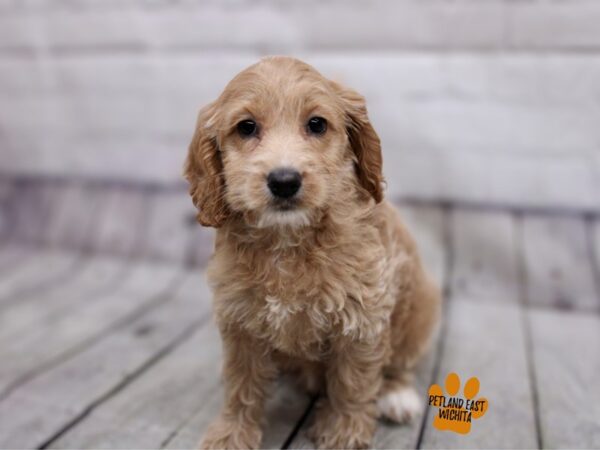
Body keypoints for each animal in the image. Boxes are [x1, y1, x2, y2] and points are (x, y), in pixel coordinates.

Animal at [185, 57, 442, 450]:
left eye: (317, 124)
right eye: (246, 127)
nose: (284, 181)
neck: (288, 239)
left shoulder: (363, 315)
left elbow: (354, 381)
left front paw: (343, 432)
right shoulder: (239, 319)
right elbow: (241, 382)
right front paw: (230, 434)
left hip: (419, 308)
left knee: (399, 361)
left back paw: (397, 396)